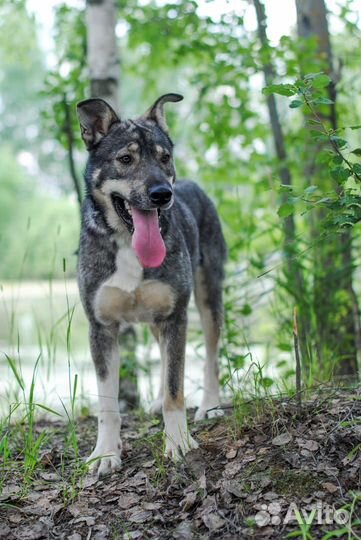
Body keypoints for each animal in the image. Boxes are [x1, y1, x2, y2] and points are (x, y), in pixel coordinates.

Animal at [76, 93, 226, 476]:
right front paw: (105, 453)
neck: (128, 244)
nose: (162, 193)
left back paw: (210, 405)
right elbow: (108, 404)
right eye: (125, 159)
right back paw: (156, 401)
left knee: (211, 354)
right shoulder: (101, 327)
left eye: (164, 157)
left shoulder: (176, 316)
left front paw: (178, 442)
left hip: (207, 297)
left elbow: (177, 388)